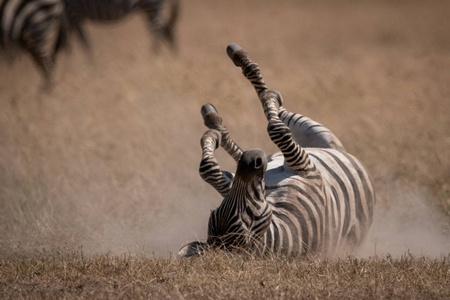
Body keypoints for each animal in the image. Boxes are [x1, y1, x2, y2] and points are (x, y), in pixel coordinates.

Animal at [179, 42, 376, 258]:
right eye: (249, 218)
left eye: (215, 211)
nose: (254, 159)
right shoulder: (305, 168)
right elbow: (276, 130)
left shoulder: (233, 182)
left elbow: (208, 169)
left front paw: (211, 138)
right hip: (311, 135)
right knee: (277, 114)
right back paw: (258, 87)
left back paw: (216, 117)